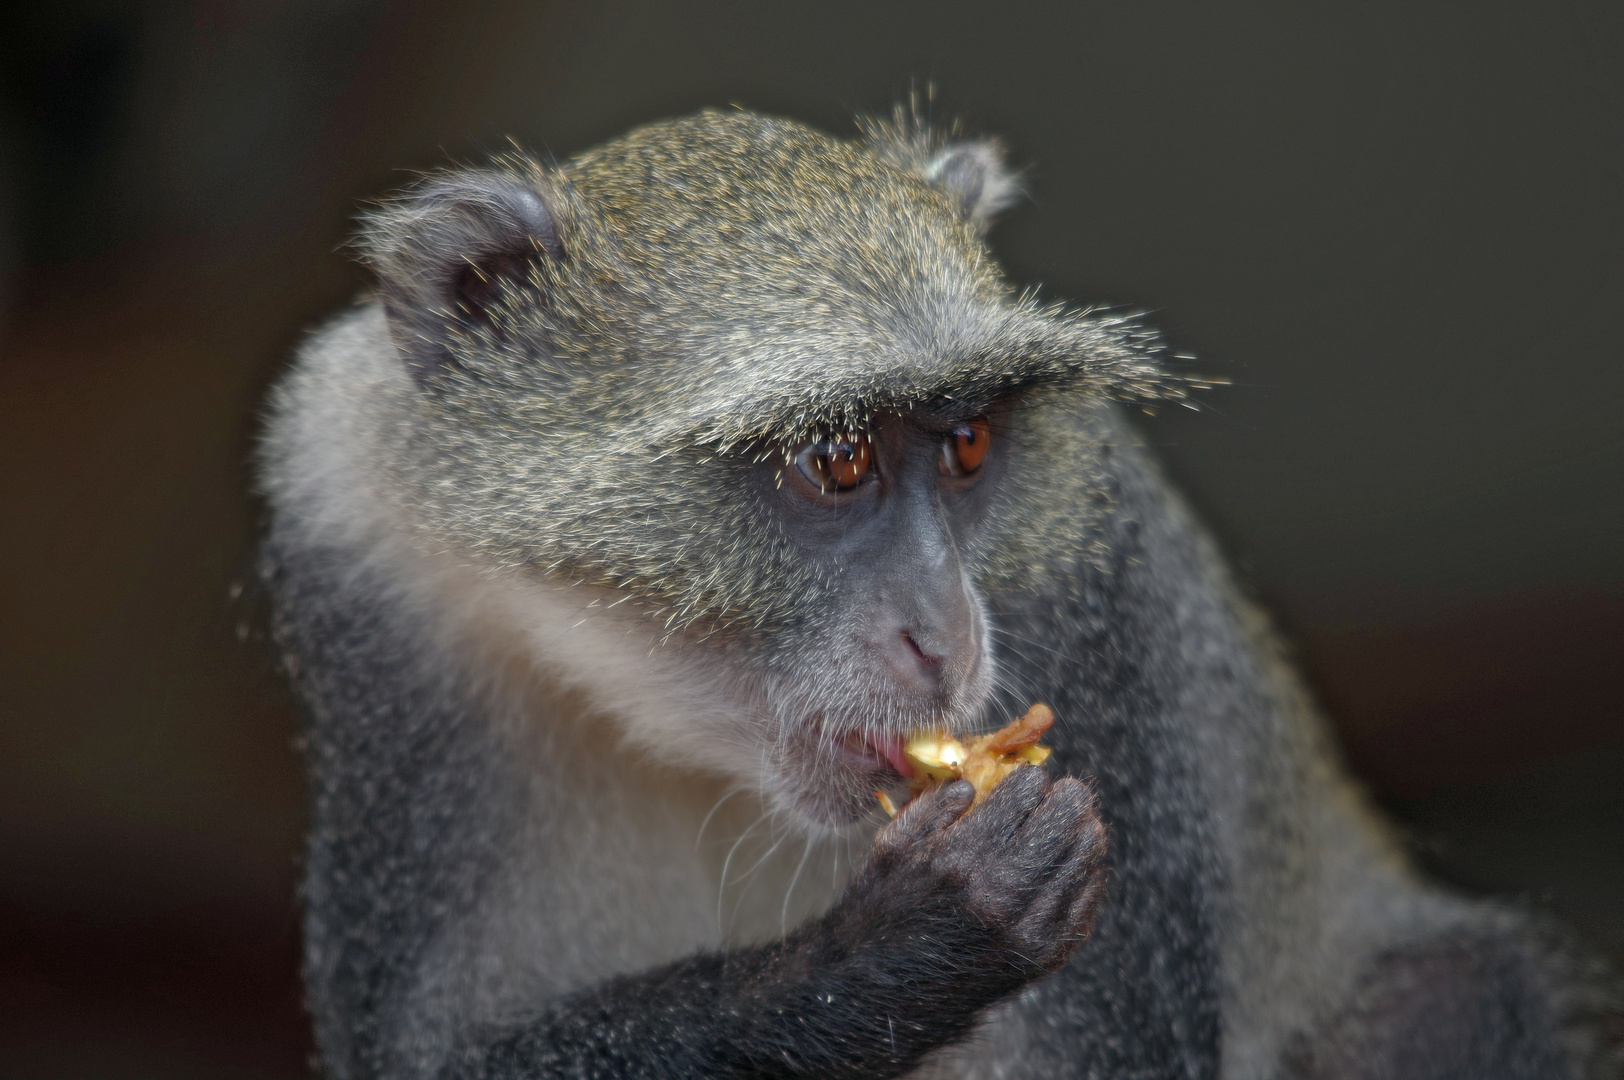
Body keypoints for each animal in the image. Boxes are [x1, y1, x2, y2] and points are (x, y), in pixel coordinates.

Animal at [256, 103, 1624, 1078]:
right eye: (834, 459)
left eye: (967, 445)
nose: (949, 637)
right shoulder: (359, 548)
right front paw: (891, 949)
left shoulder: (1092, 579)